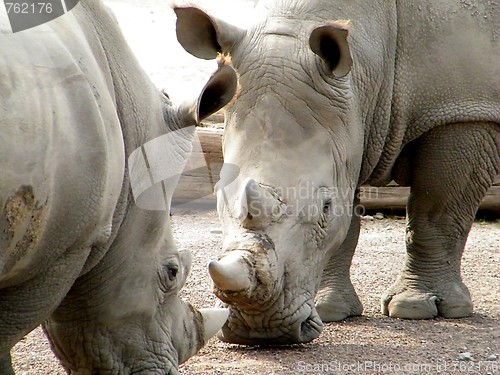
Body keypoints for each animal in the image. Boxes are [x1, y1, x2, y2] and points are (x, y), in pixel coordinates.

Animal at [174, 0, 498, 346]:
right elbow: (346, 225)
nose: (261, 330)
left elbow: (437, 215)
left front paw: (417, 308)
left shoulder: (465, 109)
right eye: (219, 198)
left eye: (325, 208)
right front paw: (329, 310)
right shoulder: (346, 128)